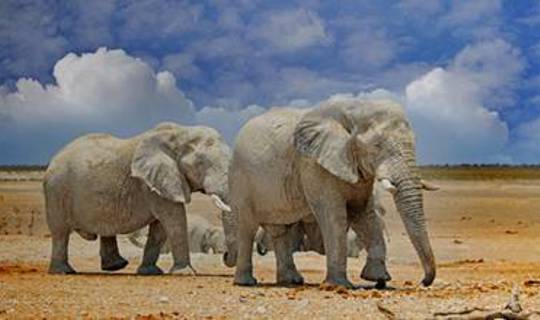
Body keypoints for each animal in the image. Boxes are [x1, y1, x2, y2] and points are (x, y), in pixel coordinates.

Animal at [43, 122, 233, 276]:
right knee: (60, 232)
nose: (224, 256)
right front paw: (185, 273)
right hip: (56, 190)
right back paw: (64, 271)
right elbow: (174, 220)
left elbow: (160, 227)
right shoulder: (153, 183)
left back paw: (116, 266)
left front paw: (150, 272)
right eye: (201, 164)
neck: (181, 132)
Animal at [228, 98, 438, 288]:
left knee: (280, 230)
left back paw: (291, 281)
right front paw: (340, 285)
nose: (423, 282)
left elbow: (365, 214)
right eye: (377, 146)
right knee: (248, 227)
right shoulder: (313, 164)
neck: (355, 107)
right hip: (241, 179)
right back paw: (245, 282)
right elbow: (333, 215)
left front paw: (378, 279)